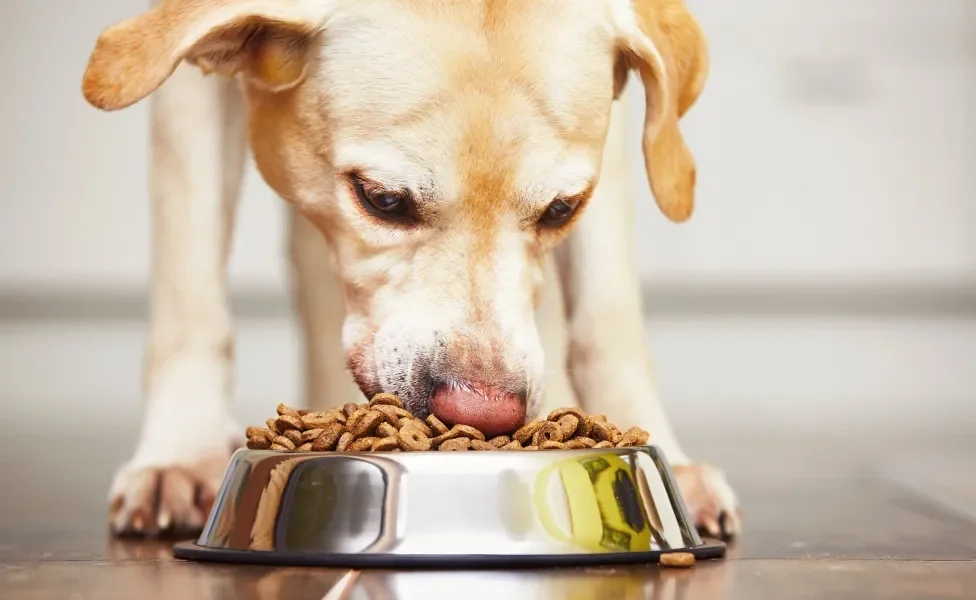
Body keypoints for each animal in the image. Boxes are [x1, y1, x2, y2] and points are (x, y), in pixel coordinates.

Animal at [82, 0, 740, 540]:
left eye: (561, 209)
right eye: (382, 200)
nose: (482, 413)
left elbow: (609, 315)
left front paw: (662, 453)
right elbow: (190, 290)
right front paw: (180, 454)